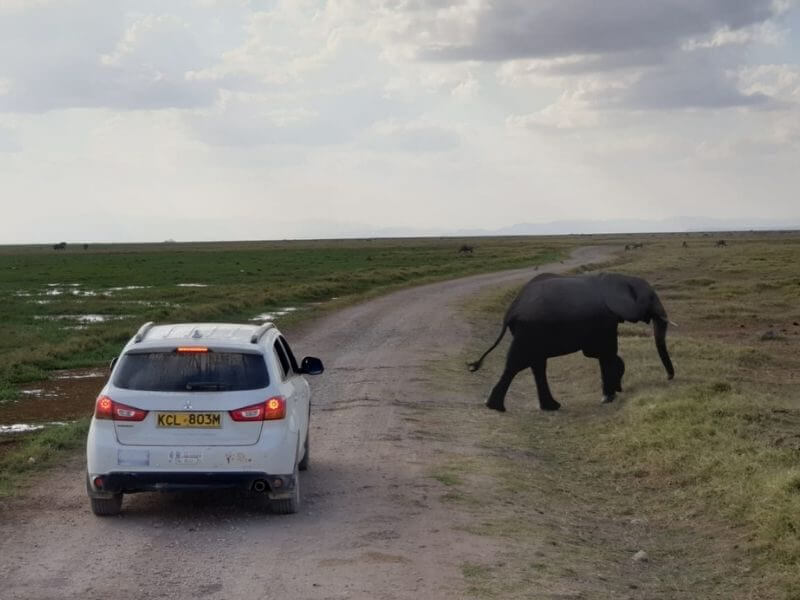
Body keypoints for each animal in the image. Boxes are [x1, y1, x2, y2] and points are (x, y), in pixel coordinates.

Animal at [468, 274, 676, 410]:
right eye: (651, 298)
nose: (668, 378)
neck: (622, 278)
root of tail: (511, 310)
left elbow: (601, 354)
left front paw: (611, 393)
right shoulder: (605, 319)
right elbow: (606, 352)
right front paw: (608, 398)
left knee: (537, 365)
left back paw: (550, 407)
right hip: (530, 331)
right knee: (517, 364)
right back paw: (495, 407)